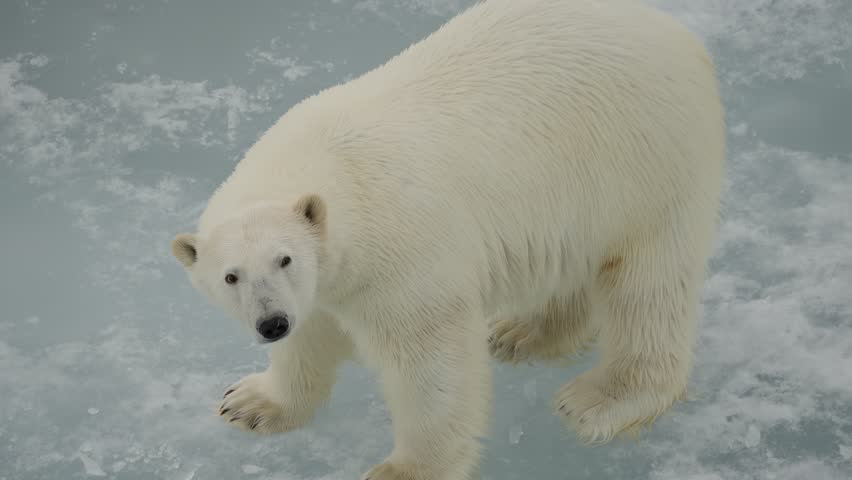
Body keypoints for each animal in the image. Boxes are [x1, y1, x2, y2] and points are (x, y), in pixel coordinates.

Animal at [170, 0, 725, 478]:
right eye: (231, 276)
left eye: (284, 258)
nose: (271, 323)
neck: (334, 168)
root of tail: (676, 32)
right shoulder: (321, 286)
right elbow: (310, 336)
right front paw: (250, 402)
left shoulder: (400, 252)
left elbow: (428, 359)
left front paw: (403, 471)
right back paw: (520, 331)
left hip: (642, 162)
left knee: (647, 285)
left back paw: (600, 399)